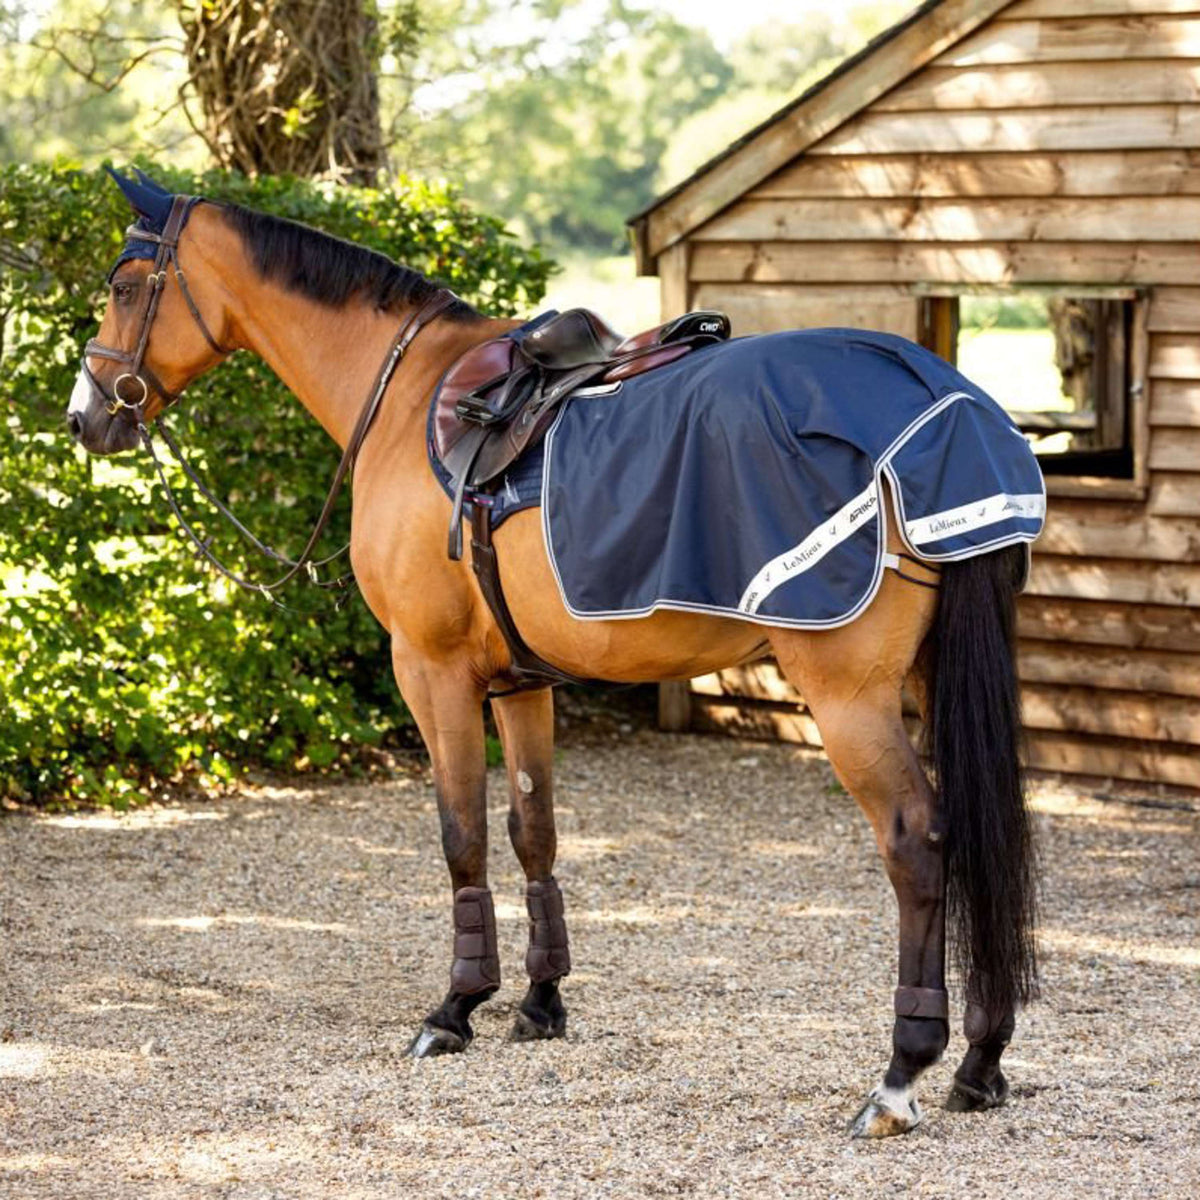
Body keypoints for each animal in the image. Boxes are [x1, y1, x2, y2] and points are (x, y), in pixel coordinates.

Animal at [68, 169, 1041, 1132]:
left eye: (126, 286)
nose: (86, 417)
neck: (406, 392)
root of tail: (943, 406)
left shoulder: (430, 671)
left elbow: (461, 832)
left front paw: (456, 1007)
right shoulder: (519, 683)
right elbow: (531, 831)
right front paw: (540, 1002)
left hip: (848, 695)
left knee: (917, 841)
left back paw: (901, 1073)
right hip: (932, 679)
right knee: (979, 834)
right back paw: (982, 1060)